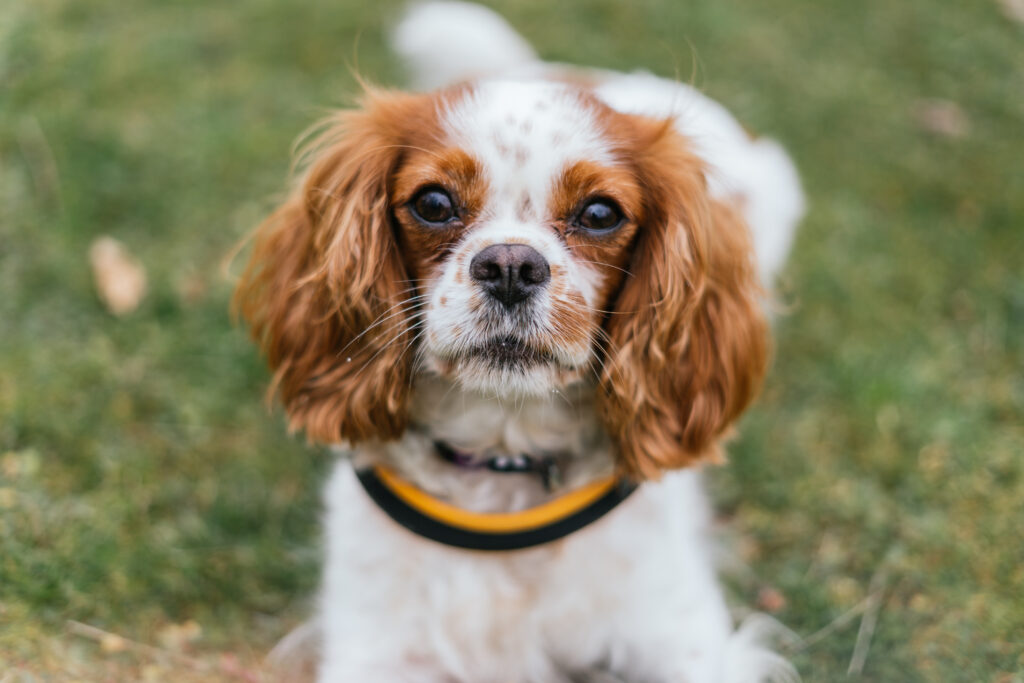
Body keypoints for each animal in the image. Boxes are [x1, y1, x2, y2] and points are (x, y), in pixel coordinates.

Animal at [235, 2, 802, 679]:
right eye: (432, 203)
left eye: (601, 214)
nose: (510, 265)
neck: (506, 458)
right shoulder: (378, 649)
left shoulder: (684, 641)